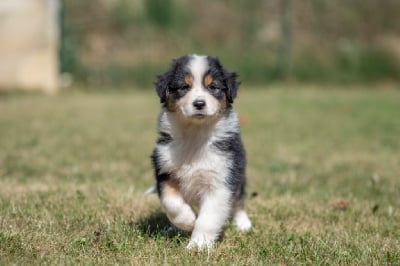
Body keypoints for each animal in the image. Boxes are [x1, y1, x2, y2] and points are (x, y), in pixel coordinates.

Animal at [149, 53, 250, 249]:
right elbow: (171, 203)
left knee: (238, 200)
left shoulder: (220, 181)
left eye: (213, 87)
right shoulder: (165, 171)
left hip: (239, 175)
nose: (199, 103)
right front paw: (187, 222)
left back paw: (243, 224)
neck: (195, 134)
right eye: (184, 87)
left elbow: (207, 219)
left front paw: (198, 246)